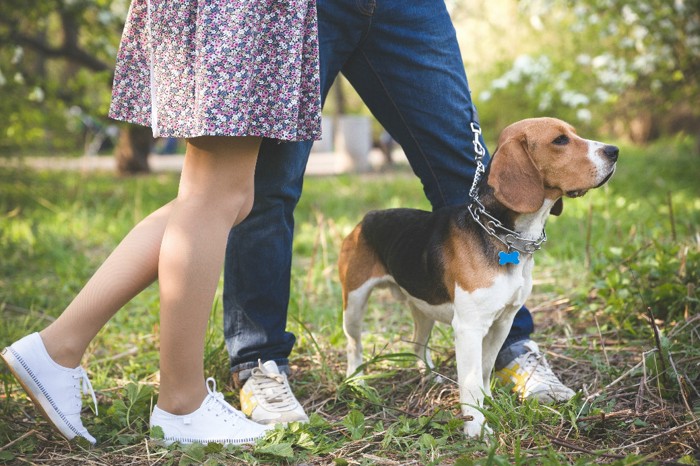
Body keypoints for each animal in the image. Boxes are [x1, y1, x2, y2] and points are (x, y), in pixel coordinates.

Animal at [340, 116, 616, 436]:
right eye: (560, 140)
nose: (615, 151)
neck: (504, 236)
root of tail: (365, 219)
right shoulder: (469, 328)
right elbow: (470, 380)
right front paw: (477, 428)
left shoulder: (503, 321)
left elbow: (484, 369)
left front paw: (488, 403)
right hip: (354, 303)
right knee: (353, 344)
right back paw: (356, 381)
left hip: (423, 306)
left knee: (418, 342)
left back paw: (428, 375)